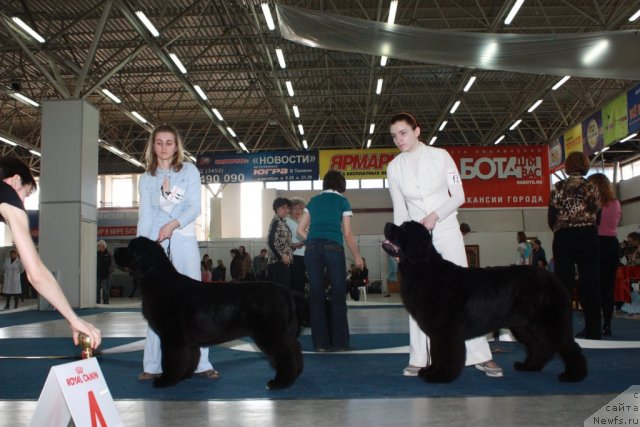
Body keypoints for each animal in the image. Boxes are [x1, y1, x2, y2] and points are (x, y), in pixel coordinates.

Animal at [114, 237, 304, 392]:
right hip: (285, 332)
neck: (157, 280)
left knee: (284, 354)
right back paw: (296, 374)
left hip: (270, 333)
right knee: (294, 349)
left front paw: (166, 380)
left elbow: (171, 359)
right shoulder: (186, 340)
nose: (115, 250)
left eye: (130, 248)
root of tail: (284, 291)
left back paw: (279, 383)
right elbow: (188, 358)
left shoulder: (172, 336)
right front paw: (183, 376)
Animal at [382, 221, 588, 384]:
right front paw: (429, 371)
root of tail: (551, 278)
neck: (422, 268)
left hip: (547, 322)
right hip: (523, 326)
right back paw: (529, 366)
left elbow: (444, 353)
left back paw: (574, 375)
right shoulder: (437, 331)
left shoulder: (445, 330)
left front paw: (440, 375)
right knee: (541, 346)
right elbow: (435, 352)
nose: (387, 224)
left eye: (403, 229)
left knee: (569, 346)